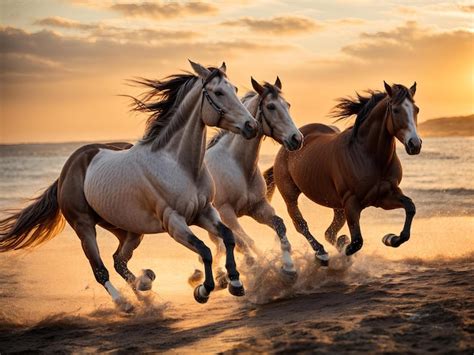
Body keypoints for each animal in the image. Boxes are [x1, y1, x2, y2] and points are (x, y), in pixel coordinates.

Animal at [0, 61, 260, 312]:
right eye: (218, 92)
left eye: (235, 89)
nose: (251, 126)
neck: (179, 165)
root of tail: (69, 168)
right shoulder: (175, 222)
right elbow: (204, 250)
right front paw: (203, 291)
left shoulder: (205, 211)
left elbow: (228, 237)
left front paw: (236, 283)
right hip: (84, 226)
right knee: (101, 269)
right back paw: (125, 303)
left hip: (127, 228)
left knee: (119, 260)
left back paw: (146, 289)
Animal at [192, 77, 306, 286]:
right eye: (270, 106)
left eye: (287, 105)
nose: (297, 139)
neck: (238, 166)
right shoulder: (226, 212)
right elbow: (245, 242)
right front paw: (259, 270)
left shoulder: (258, 208)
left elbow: (279, 226)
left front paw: (288, 269)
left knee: (217, 245)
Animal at [262, 81, 422, 264]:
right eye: (395, 110)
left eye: (416, 109)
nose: (415, 144)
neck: (368, 156)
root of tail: (289, 143)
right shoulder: (351, 203)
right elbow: (356, 242)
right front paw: (344, 250)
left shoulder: (384, 197)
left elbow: (410, 207)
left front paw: (390, 238)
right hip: (291, 196)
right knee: (300, 224)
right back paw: (321, 254)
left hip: (338, 207)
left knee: (328, 232)